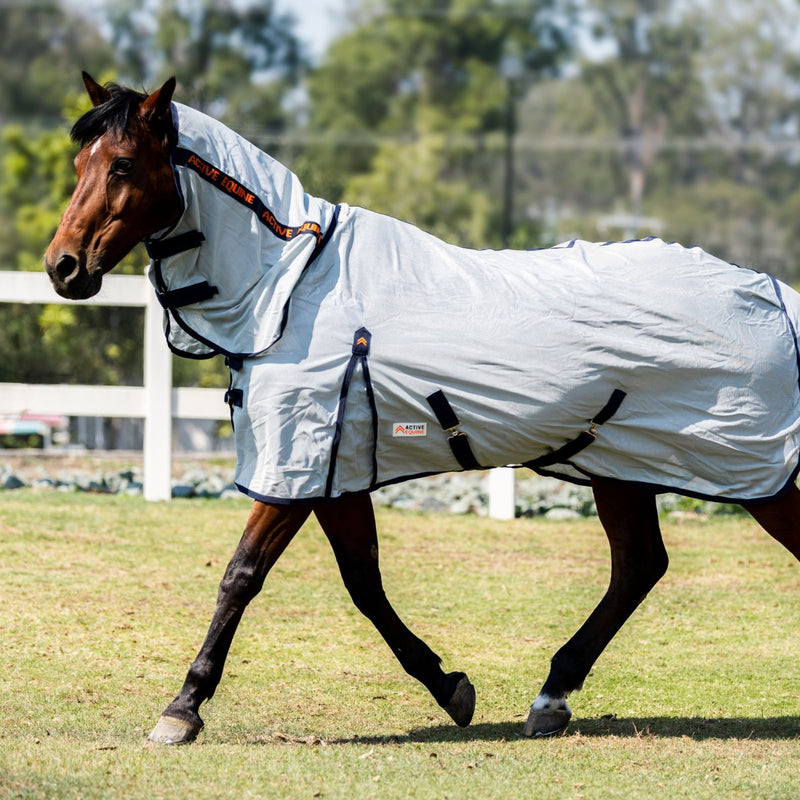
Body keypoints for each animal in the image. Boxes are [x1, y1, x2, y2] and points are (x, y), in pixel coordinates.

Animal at [45, 75, 800, 744]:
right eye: (80, 162)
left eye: (121, 163)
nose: (62, 267)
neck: (292, 287)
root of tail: (772, 290)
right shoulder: (334, 470)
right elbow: (363, 582)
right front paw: (450, 687)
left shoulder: (298, 466)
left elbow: (242, 575)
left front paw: (183, 707)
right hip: (619, 464)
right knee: (639, 565)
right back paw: (550, 697)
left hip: (759, 477)